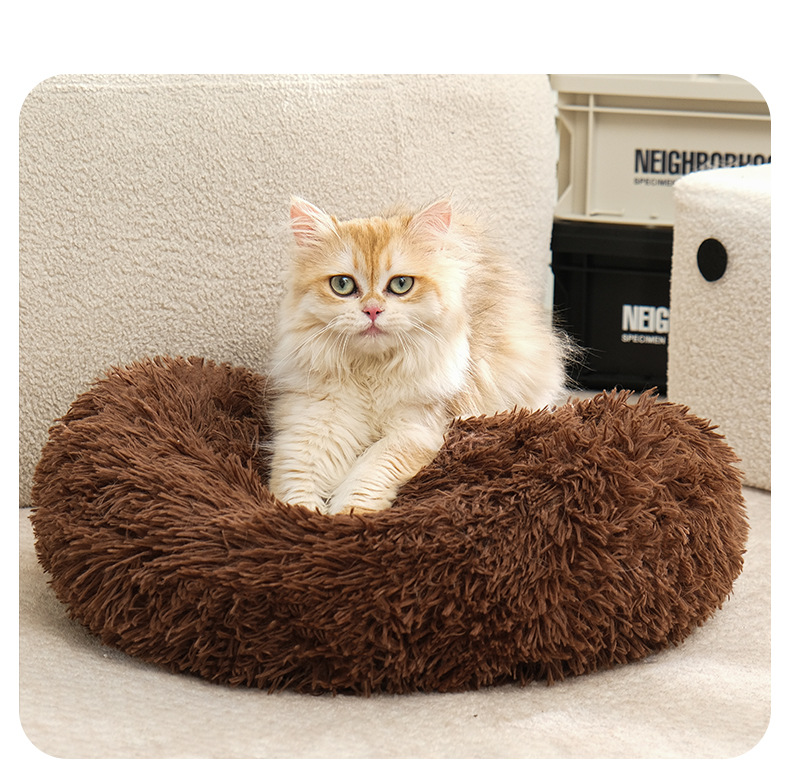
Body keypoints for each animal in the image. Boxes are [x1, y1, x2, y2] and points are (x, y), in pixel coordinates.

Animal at [267, 196, 570, 515]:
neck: (371, 373)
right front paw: (303, 518)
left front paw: (348, 515)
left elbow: (369, 472)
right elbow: (296, 484)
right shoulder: (313, 423)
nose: (372, 310)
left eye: (401, 284)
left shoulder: (414, 429)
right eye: (342, 285)